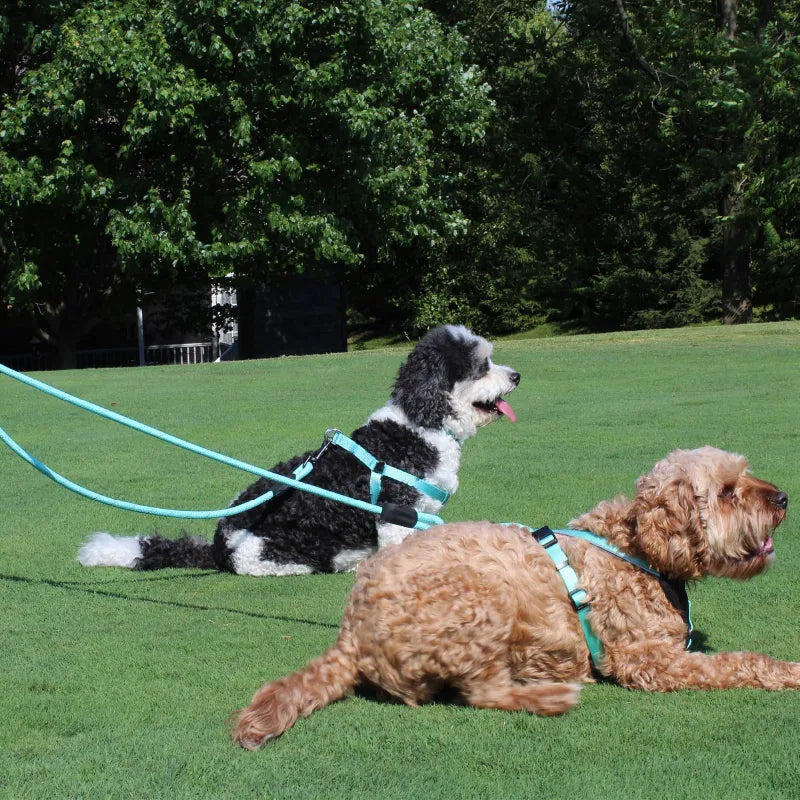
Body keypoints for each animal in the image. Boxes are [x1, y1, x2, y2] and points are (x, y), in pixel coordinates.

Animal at [78, 324, 520, 576]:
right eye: (482, 366)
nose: (517, 375)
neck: (419, 425)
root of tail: (220, 546)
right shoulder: (395, 514)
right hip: (285, 552)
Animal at [230, 446, 792, 748]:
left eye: (745, 475)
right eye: (726, 491)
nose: (784, 497)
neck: (637, 548)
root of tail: (351, 633)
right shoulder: (648, 659)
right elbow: (736, 663)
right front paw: (788, 671)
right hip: (481, 598)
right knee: (483, 693)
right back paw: (548, 696)